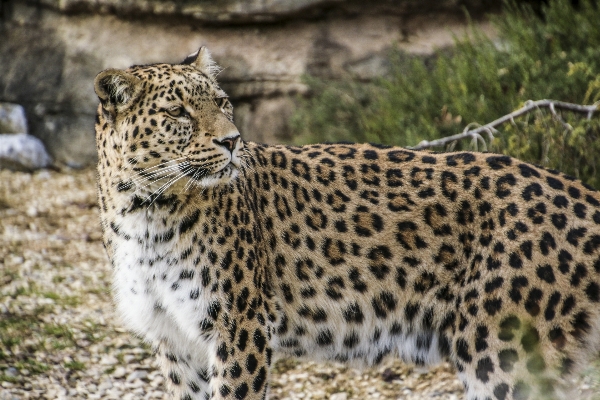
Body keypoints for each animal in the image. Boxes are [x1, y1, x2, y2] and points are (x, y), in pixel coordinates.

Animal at [96, 47, 600, 400]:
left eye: (222, 103)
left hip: (504, 354)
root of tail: (579, 191)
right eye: (177, 113)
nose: (232, 140)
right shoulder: (174, 340)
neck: (144, 213)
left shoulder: (239, 328)